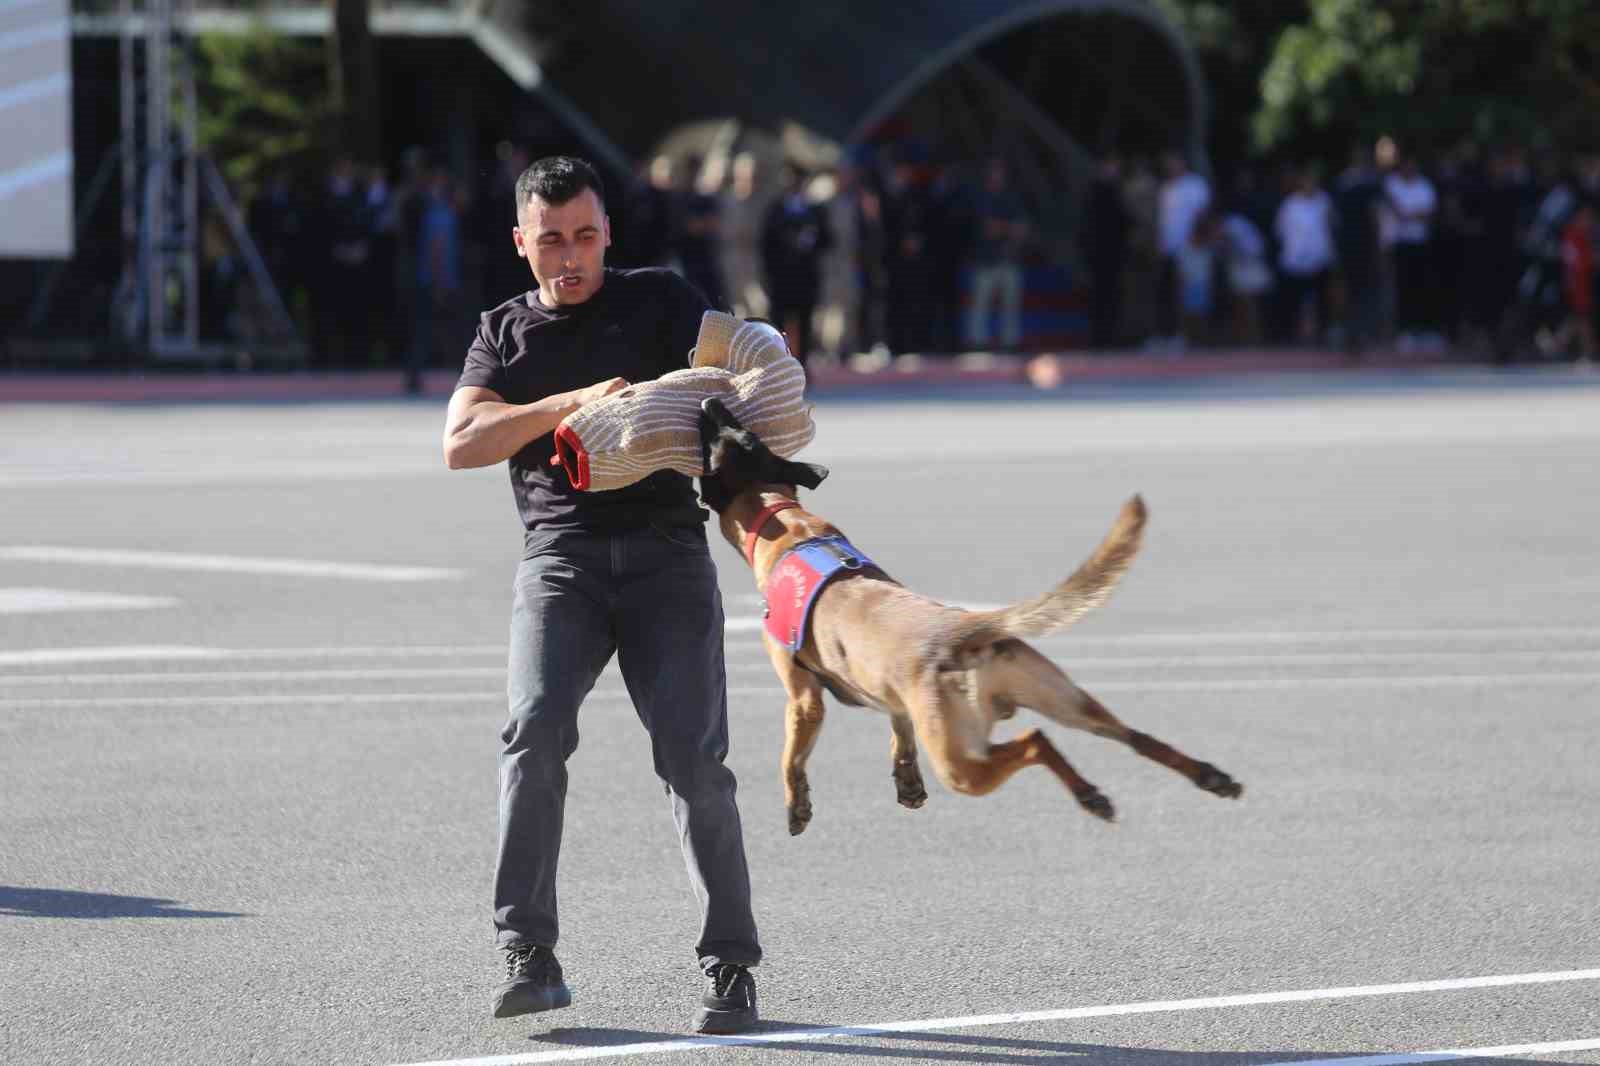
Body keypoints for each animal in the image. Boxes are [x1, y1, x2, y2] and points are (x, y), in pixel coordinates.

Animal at [704, 396, 1248, 832]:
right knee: (1135, 737)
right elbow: (898, 728)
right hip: (1070, 703)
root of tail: (964, 628)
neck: (782, 519)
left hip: (961, 763)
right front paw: (906, 779)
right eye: (739, 429)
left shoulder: (802, 698)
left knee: (1035, 741)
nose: (711, 400)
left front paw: (796, 805)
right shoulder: (894, 699)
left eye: (714, 440)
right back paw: (1208, 777)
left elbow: (791, 756)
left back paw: (1089, 794)